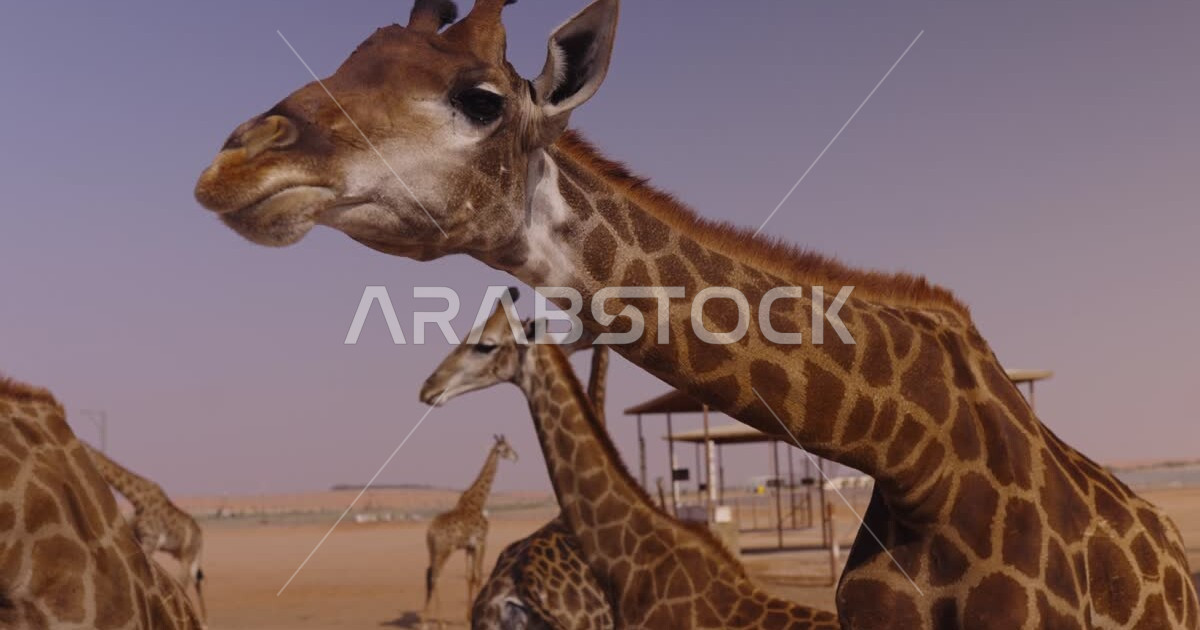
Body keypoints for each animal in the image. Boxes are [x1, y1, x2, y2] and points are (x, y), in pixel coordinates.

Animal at [81, 442, 208, 624]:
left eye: (87, 452)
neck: (137, 499)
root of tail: (200, 536)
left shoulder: (150, 541)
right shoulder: (141, 539)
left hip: (187, 556)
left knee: (185, 582)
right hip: (189, 558)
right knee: (196, 581)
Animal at [424, 434, 518, 628]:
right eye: (506, 448)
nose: (516, 457)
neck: (478, 502)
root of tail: (429, 532)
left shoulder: (469, 547)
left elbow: (469, 577)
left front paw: (468, 615)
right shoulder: (482, 542)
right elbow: (479, 576)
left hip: (433, 551)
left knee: (429, 574)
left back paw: (424, 620)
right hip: (444, 550)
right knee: (435, 576)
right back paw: (440, 623)